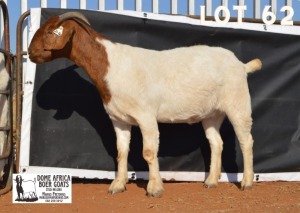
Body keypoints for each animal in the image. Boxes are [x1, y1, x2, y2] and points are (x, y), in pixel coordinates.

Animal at [28, 12, 262, 198]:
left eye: (50, 31)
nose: (30, 51)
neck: (111, 66)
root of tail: (241, 65)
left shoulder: (146, 115)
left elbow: (148, 152)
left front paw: (154, 188)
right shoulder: (118, 119)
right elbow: (121, 152)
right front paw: (117, 185)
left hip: (238, 103)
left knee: (246, 141)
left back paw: (247, 182)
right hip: (211, 114)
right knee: (216, 143)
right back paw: (211, 181)